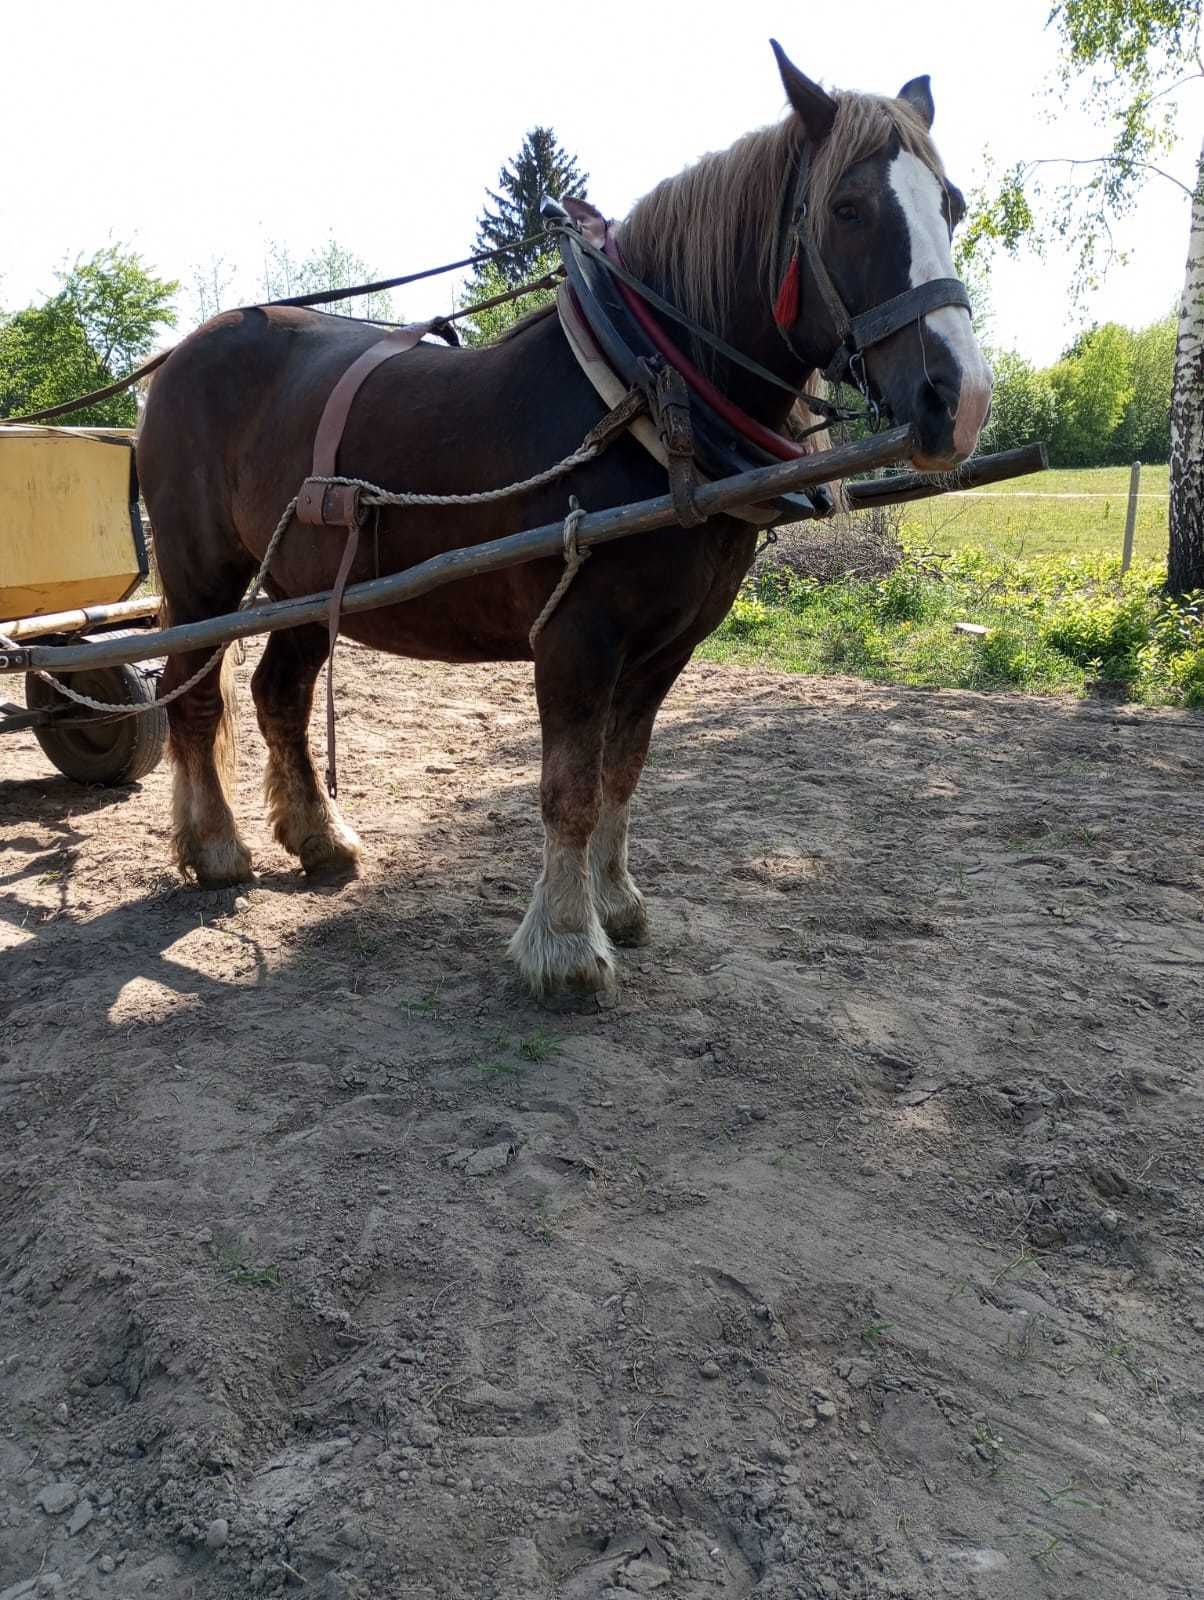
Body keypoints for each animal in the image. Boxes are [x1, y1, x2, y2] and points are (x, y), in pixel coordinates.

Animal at [136, 43, 992, 992]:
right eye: (847, 208)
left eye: (951, 204)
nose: (958, 401)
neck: (645, 396)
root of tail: (181, 354)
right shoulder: (576, 635)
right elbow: (570, 788)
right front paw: (567, 944)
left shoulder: (668, 643)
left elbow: (622, 773)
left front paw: (616, 904)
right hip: (202, 576)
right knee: (193, 699)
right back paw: (215, 848)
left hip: (305, 583)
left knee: (278, 696)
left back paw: (318, 839)